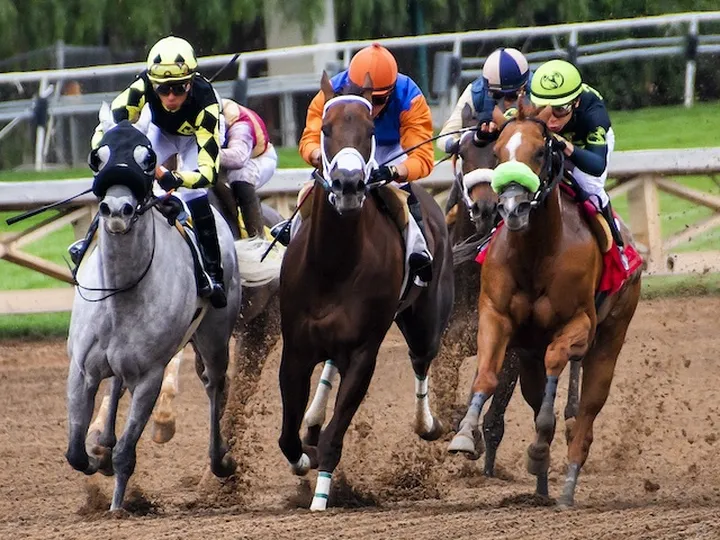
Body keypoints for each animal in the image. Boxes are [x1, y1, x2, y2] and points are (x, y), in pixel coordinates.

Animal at [65, 116, 244, 512]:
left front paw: (117, 508)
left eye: (147, 160)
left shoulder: (150, 376)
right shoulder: (82, 369)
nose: (117, 210)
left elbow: (126, 454)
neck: (121, 295)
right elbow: (75, 453)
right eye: (98, 156)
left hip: (214, 335)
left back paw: (220, 460)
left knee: (215, 384)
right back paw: (103, 442)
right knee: (116, 384)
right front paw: (97, 457)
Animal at [276, 72, 454, 511]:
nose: (349, 184)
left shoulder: (363, 353)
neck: (333, 264)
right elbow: (287, 437)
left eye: (371, 130)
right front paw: (303, 457)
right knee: (328, 370)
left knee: (421, 359)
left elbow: (335, 436)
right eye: (325, 129)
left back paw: (427, 424)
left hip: (426, 320)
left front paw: (321, 499)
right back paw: (312, 420)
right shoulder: (297, 348)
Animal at [447, 104, 642, 506]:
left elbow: (556, 369)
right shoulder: (496, 318)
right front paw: (463, 434)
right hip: (529, 355)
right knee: (538, 396)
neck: (536, 252)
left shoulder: (578, 325)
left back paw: (565, 485)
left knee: (585, 414)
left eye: (540, 151)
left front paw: (538, 447)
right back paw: (540, 488)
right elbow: (485, 375)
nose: (509, 207)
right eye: (498, 152)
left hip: (610, 337)